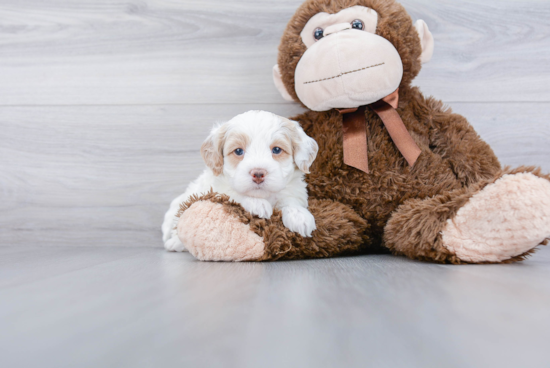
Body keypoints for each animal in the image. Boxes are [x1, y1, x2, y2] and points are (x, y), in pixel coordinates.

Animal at [162, 110, 320, 252]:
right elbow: (233, 193)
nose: (258, 173)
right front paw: (257, 204)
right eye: (238, 151)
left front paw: (299, 216)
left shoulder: (294, 189)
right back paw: (175, 243)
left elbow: (291, 200)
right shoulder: (215, 189)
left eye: (276, 150)